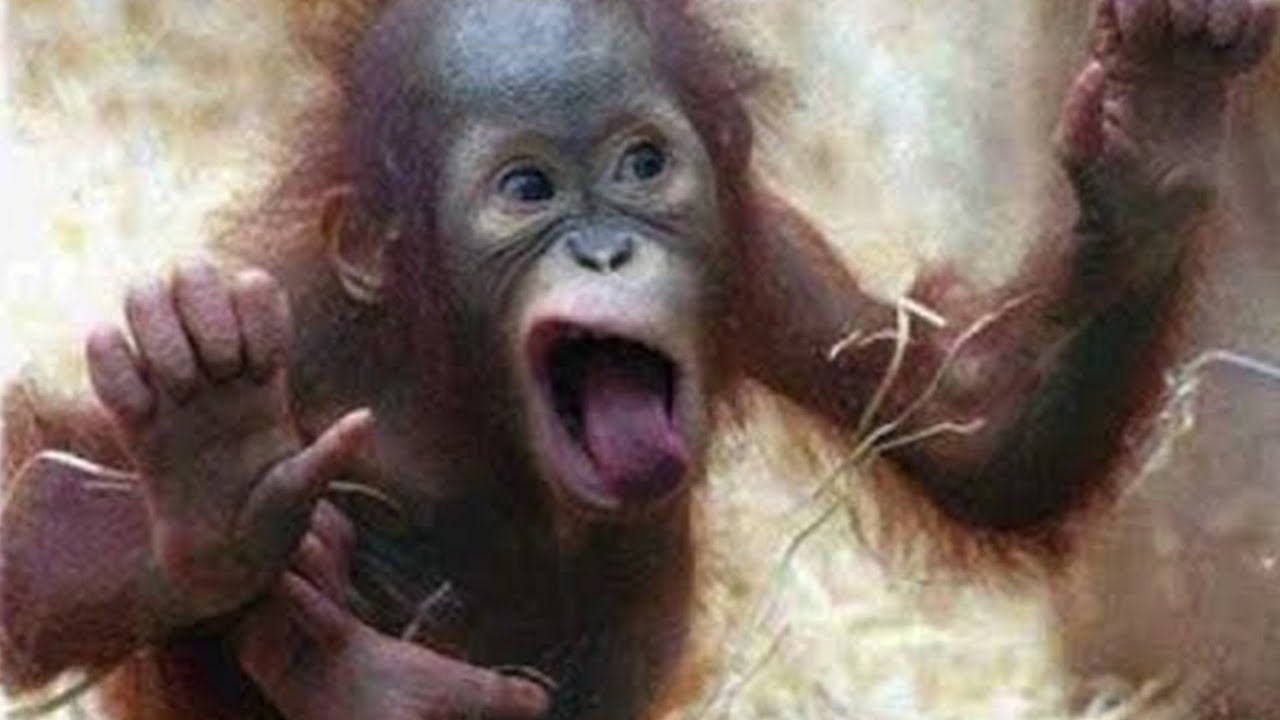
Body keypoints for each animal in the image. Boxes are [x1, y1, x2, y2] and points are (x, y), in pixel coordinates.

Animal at [0, 0, 1273, 717]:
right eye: (524, 188)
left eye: (641, 163)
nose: (605, 245)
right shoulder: (314, 337)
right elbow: (45, 517)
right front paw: (207, 483)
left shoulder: (765, 267)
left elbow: (970, 430)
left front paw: (1154, 132)